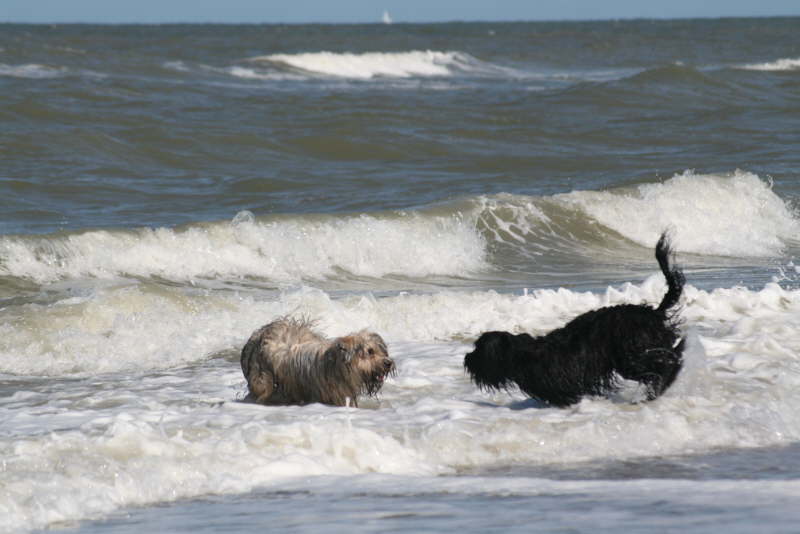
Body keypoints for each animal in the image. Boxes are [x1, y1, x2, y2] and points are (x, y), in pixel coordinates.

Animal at [241, 320, 396, 408]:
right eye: (370, 351)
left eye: (382, 351)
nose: (388, 363)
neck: (338, 366)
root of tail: (258, 335)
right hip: (263, 378)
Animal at [466, 232, 684, 408]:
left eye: (478, 349)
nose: (466, 359)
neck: (522, 354)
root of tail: (653, 312)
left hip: (631, 356)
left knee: (663, 366)